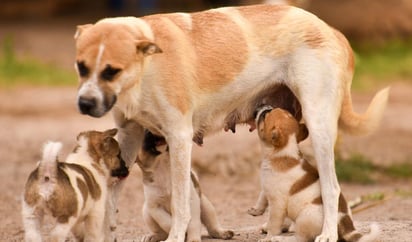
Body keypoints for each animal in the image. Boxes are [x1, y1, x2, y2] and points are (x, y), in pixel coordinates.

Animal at [249, 106, 378, 242]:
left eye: (264, 116)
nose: (264, 107)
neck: (283, 151)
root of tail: (344, 225)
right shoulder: (267, 188)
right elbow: (262, 197)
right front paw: (256, 209)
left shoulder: (277, 205)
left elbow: (273, 224)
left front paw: (268, 237)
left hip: (304, 218)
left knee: (299, 238)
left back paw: (280, 238)